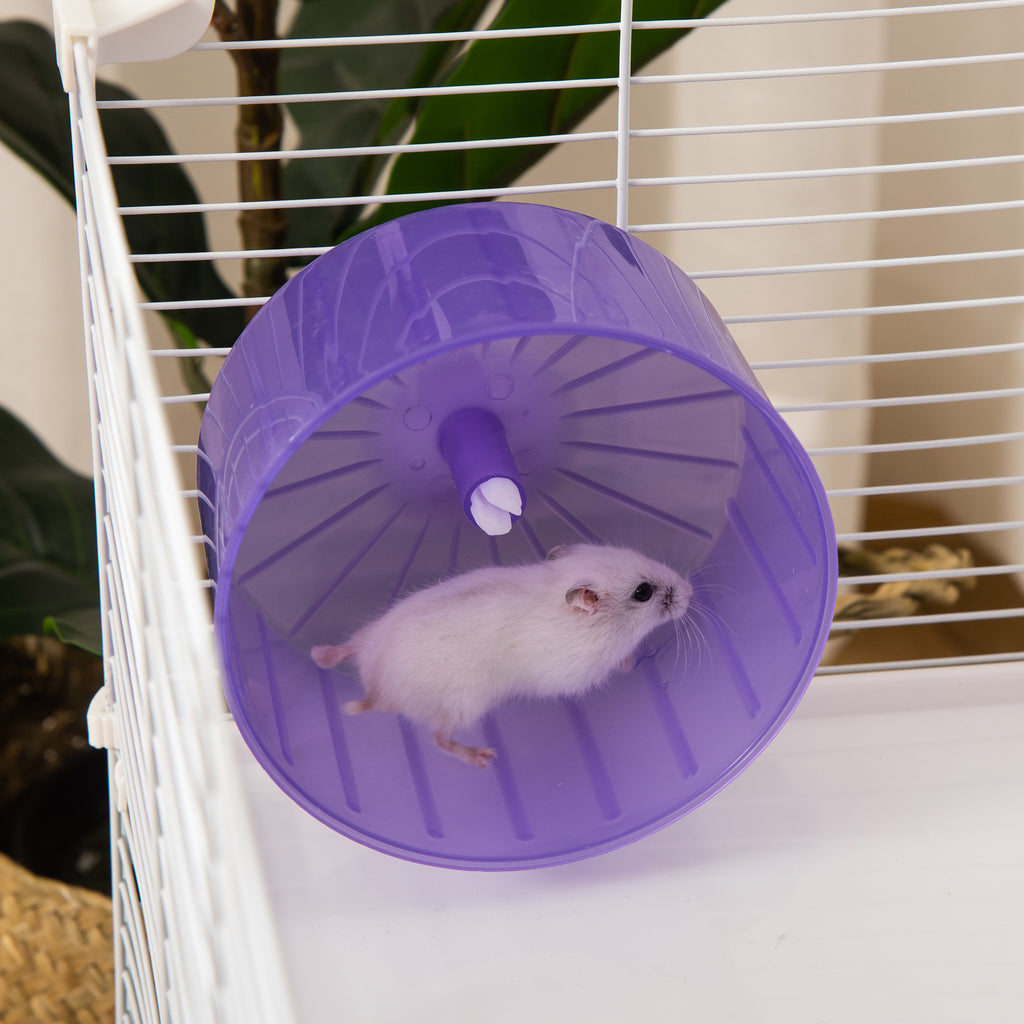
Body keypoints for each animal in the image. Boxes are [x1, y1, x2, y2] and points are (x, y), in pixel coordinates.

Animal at [311, 543, 692, 767]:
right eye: (643, 592)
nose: (690, 590)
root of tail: (375, 688)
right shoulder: (576, 672)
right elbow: (619, 662)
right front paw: (633, 660)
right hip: (462, 706)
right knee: (439, 739)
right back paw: (482, 758)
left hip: (374, 632)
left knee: (350, 644)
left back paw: (321, 654)